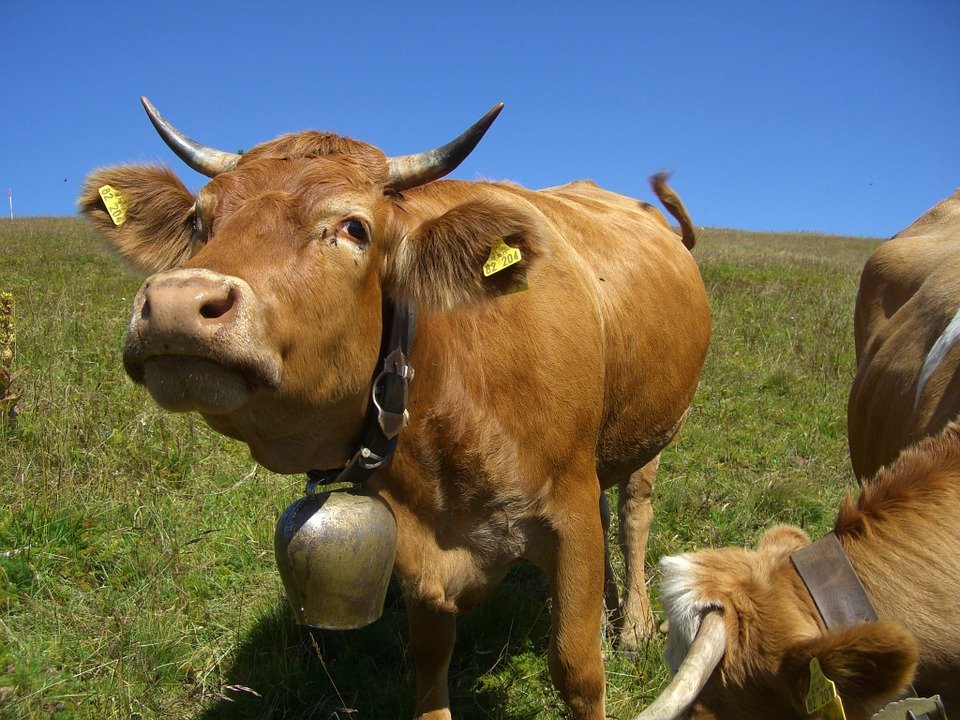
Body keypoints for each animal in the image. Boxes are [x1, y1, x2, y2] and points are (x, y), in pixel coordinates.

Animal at [79, 98, 711, 720]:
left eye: (353, 227)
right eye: (197, 221)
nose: (177, 304)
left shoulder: (569, 512)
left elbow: (577, 668)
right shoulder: (416, 549)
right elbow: (429, 666)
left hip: (655, 432)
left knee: (632, 514)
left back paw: (633, 624)